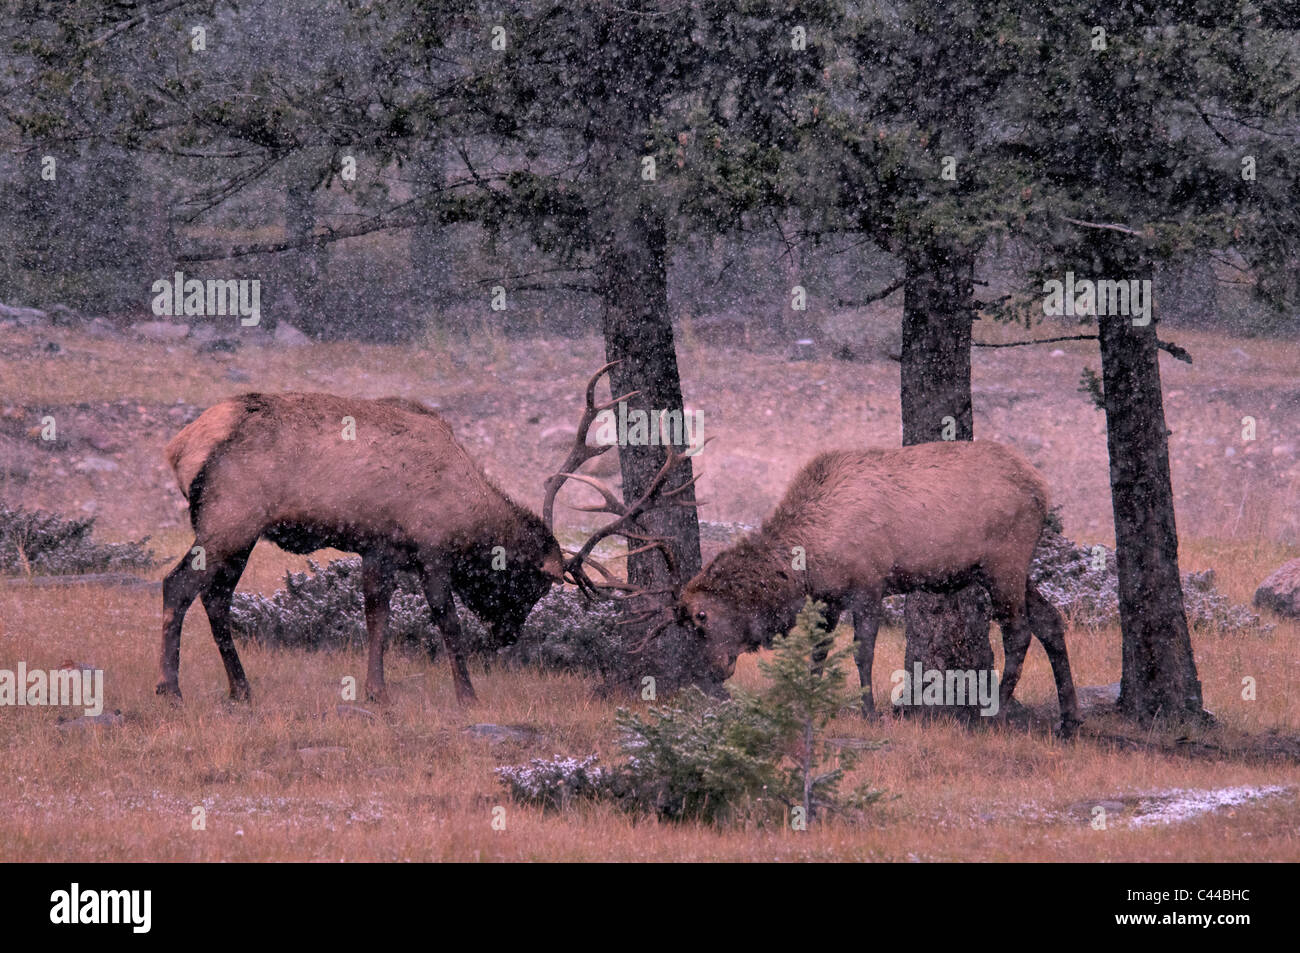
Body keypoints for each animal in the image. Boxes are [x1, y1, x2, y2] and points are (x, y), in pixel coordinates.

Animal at [157, 387, 569, 707]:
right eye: (530, 585)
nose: (509, 635)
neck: (467, 516)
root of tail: (179, 448)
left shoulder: (379, 549)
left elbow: (377, 617)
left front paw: (377, 691)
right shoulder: (432, 552)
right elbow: (448, 622)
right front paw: (467, 696)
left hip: (240, 535)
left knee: (216, 598)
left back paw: (241, 689)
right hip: (228, 522)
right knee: (177, 585)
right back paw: (170, 689)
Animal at [650, 439, 1086, 738]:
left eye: (703, 616)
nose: (713, 669)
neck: (809, 557)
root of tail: (1042, 488)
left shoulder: (868, 585)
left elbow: (863, 653)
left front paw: (869, 711)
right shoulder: (828, 599)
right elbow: (817, 653)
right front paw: (807, 701)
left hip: (1003, 563)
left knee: (1019, 631)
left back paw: (991, 715)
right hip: (1011, 569)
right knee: (1050, 620)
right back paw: (1070, 720)